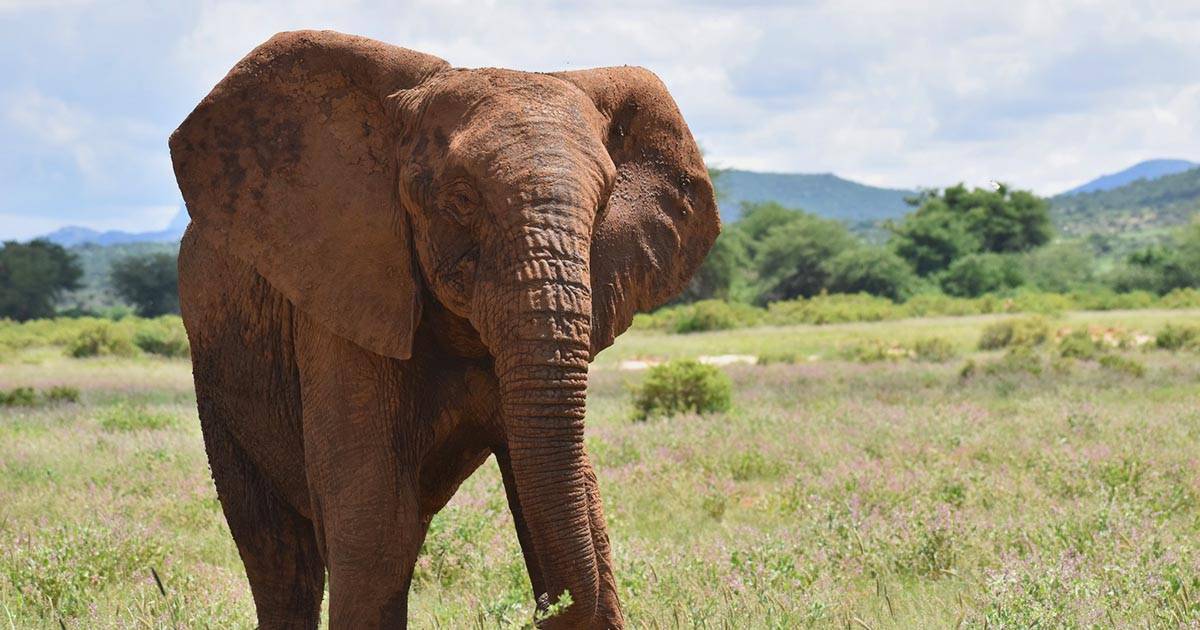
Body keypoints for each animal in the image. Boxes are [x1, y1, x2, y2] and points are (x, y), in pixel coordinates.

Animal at [170, 30, 719, 629]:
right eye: (460, 200)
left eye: (602, 210)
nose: (540, 609)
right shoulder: (343, 298)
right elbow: (374, 521)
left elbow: (563, 501)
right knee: (280, 558)